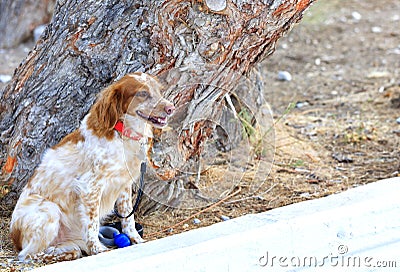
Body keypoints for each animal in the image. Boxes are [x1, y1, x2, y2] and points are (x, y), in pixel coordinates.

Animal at [9, 71, 175, 262]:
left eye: (159, 90)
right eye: (142, 93)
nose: (171, 108)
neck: (122, 134)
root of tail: (14, 236)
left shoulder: (124, 184)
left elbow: (128, 218)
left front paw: (136, 240)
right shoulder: (90, 187)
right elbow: (92, 223)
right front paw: (97, 249)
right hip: (49, 211)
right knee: (28, 255)